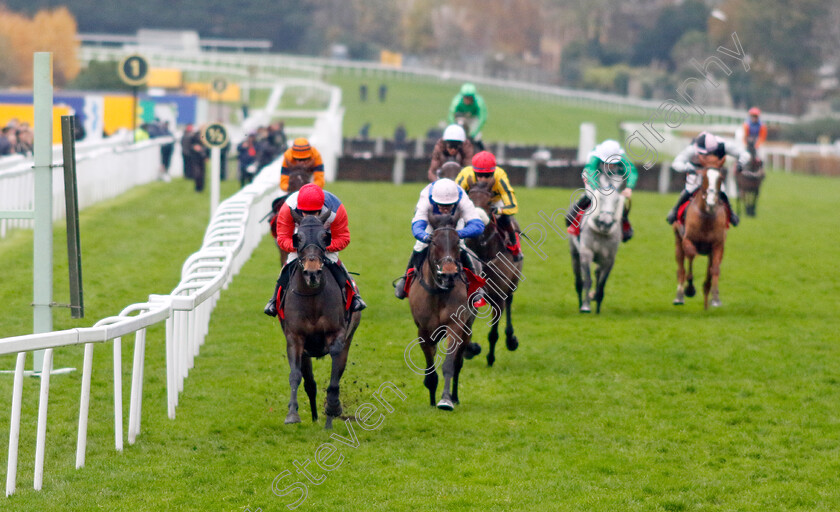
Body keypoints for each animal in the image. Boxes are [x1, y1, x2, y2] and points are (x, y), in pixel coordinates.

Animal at [282, 212, 360, 428]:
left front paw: (333, 407)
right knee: (310, 383)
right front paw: (292, 414)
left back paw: (328, 420)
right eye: (297, 237)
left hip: (349, 337)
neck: (313, 297)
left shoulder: (337, 334)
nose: (312, 273)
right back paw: (316, 417)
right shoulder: (295, 338)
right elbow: (295, 375)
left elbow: (334, 376)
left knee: (338, 371)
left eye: (325, 237)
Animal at [408, 214, 476, 410]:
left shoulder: (455, 326)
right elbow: (430, 367)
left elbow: (449, 365)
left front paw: (445, 400)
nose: (449, 274)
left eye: (457, 242)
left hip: (467, 329)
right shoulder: (423, 331)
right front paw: (431, 396)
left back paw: (455, 396)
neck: (439, 292)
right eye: (434, 242)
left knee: (458, 363)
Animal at [568, 175, 628, 312]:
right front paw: (585, 306)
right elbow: (587, 280)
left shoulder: (609, 258)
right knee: (579, 281)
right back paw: (581, 302)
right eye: (600, 198)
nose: (605, 222)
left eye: (617, 200)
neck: (601, 233)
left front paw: (598, 307)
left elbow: (602, 283)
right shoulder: (586, 253)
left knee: (597, 272)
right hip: (574, 253)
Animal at [676, 168, 728, 310]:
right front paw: (690, 289)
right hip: (677, 240)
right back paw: (679, 296)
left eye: (721, 178)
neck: (706, 217)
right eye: (704, 178)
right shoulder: (687, 240)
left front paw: (715, 298)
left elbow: (714, 269)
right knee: (681, 268)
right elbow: (691, 256)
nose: (711, 203)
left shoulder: (718, 244)